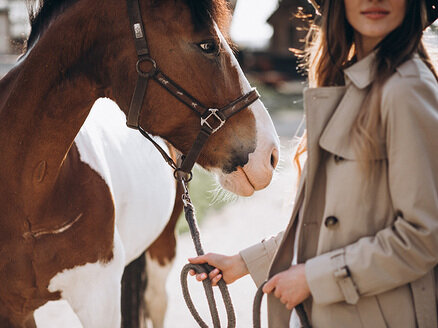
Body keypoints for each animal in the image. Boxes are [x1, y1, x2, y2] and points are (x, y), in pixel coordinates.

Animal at [0, 0, 278, 326]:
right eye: (207, 45)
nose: (270, 154)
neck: (27, 205)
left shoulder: (98, 300)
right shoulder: (16, 309)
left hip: (162, 248)